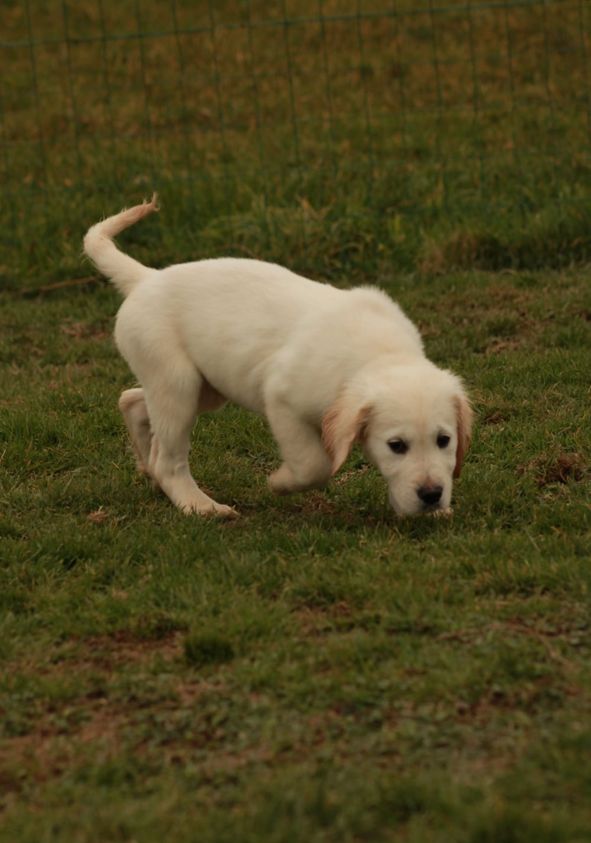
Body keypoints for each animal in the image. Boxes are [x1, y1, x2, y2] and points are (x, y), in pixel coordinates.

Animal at [83, 197, 474, 516]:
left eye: (444, 440)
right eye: (396, 446)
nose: (431, 495)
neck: (379, 354)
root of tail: (145, 278)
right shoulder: (282, 401)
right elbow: (313, 464)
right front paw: (279, 483)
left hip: (205, 388)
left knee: (133, 402)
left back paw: (148, 468)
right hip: (178, 384)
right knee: (169, 459)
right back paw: (200, 505)